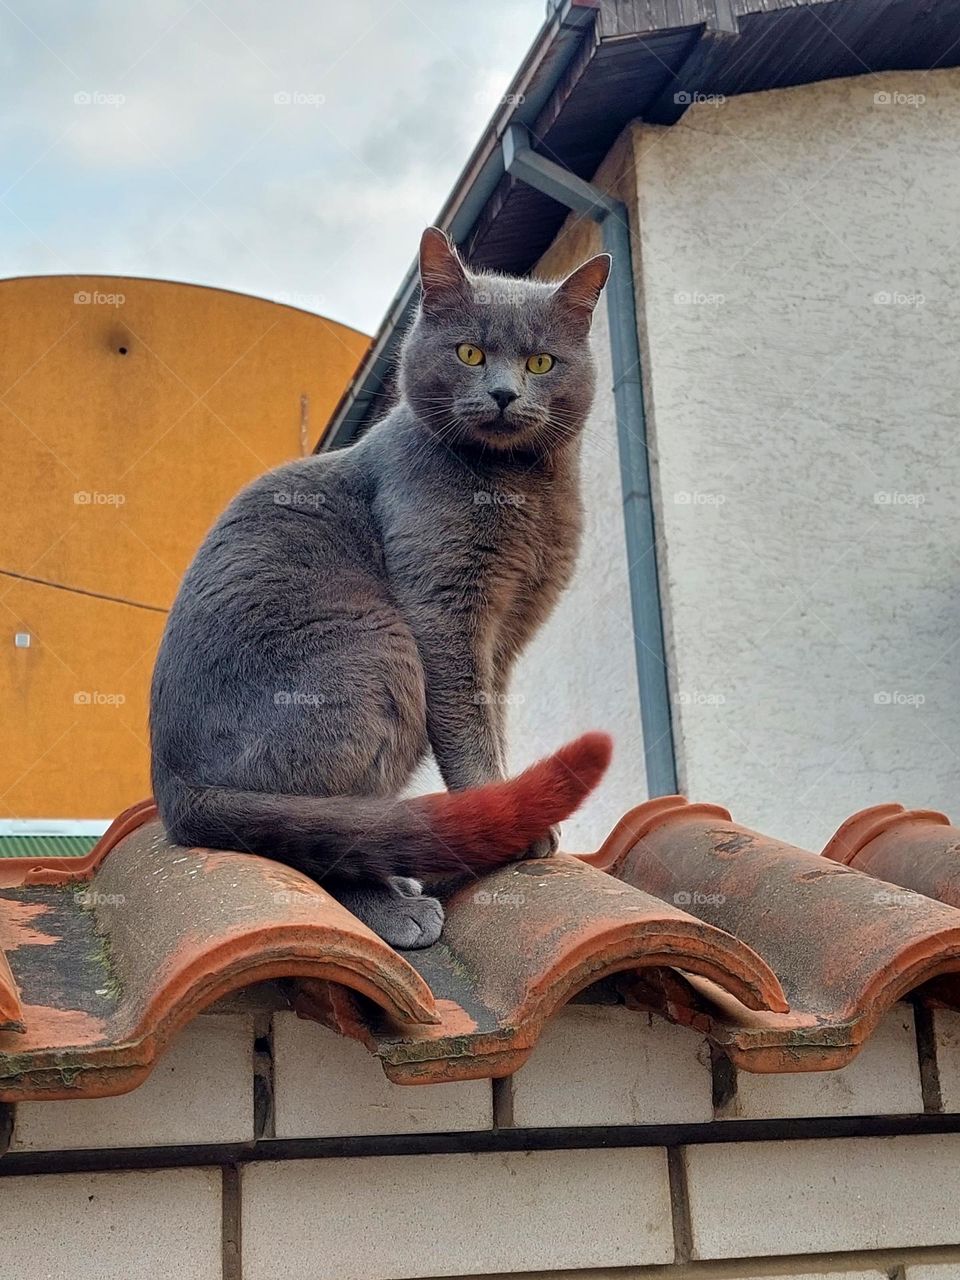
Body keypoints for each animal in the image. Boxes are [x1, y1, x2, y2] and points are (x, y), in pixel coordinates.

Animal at [150, 227, 616, 952]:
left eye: (541, 362)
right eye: (470, 352)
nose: (504, 393)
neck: (521, 492)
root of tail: (175, 792)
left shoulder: (506, 637)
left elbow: (493, 721)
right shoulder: (444, 612)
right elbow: (468, 729)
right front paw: (512, 820)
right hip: (378, 652)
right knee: (309, 835)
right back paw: (396, 907)